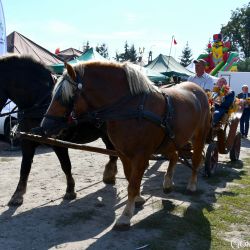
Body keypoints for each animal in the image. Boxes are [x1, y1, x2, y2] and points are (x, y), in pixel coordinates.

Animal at [0, 54, 117, 205]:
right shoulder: (27, 141)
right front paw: (17, 194)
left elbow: (66, 165)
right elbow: (24, 167)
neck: (39, 102)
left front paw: (70, 190)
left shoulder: (58, 142)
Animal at [40, 61, 210, 229]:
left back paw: (192, 185)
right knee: (174, 156)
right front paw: (138, 199)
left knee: (196, 159)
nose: (45, 127)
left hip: (199, 136)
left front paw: (125, 215)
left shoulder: (141, 155)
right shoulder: (123, 153)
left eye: (65, 97)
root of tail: (198, 89)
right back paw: (168, 184)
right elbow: (130, 178)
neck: (131, 108)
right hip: (169, 142)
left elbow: (133, 184)